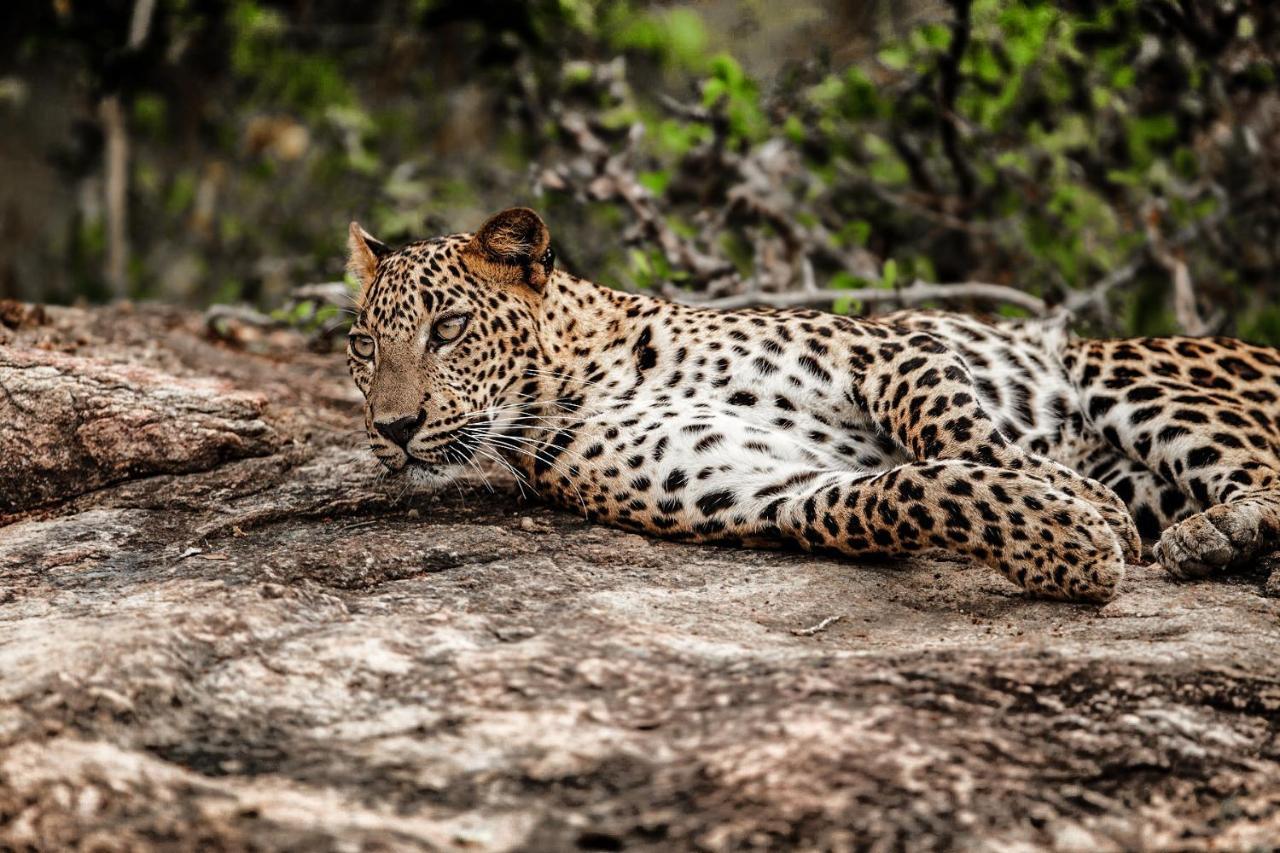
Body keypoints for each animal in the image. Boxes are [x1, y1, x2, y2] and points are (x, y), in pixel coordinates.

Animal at [340, 206, 1280, 601]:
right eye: (364, 346)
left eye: (450, 327)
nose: (395, 428)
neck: (583, 372)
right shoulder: (768, 492)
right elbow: (912, 488)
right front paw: (1063, 542)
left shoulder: (888, 353)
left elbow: (964, 432)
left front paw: (1084, 507)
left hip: (1115, 369)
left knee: (1256, 463)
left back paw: (1209, 533)